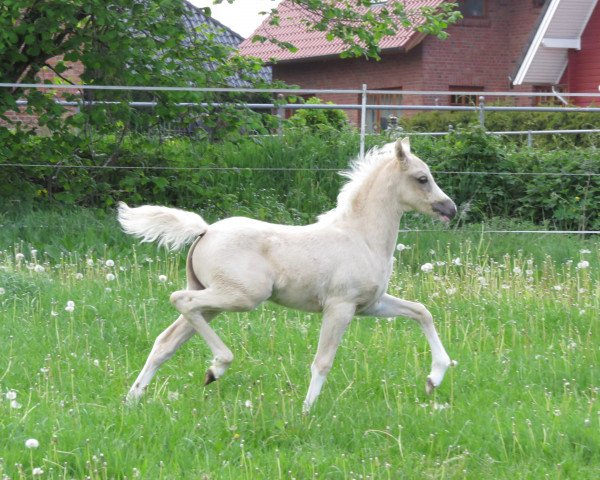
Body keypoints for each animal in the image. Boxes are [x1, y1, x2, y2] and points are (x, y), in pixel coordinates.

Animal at [119, 137, 458, 410]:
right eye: (422, 178)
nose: (450, 209)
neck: (361, 237)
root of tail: (205, 230)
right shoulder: (340, 306)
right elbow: (322, 361)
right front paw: (307, 412)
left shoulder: (370, 305)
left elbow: (421, 311)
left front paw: (435, 377)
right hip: (240, 296)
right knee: (181, 300)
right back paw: (217, 367)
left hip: (214, 301)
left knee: (166, 342)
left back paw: (133, 398)